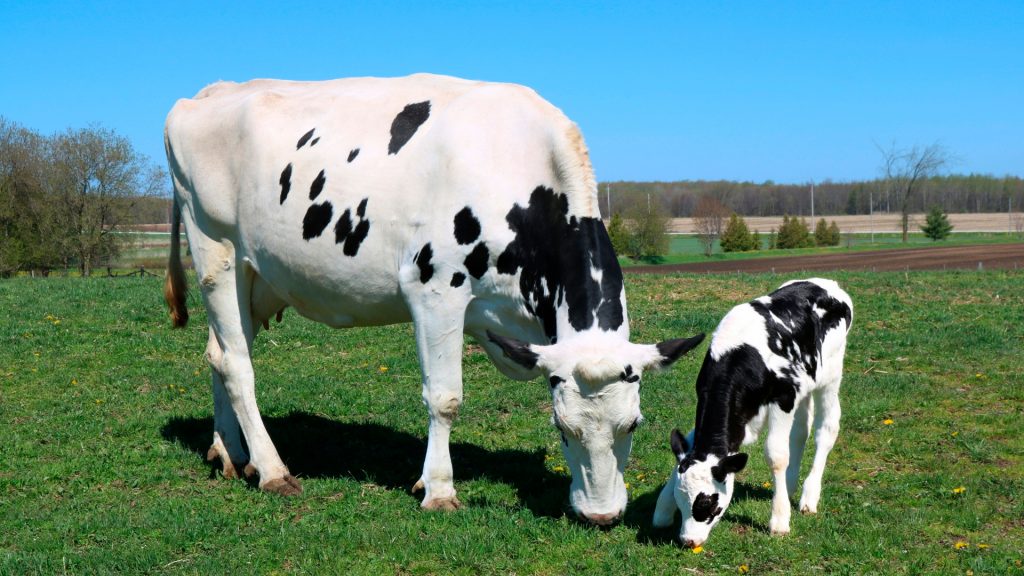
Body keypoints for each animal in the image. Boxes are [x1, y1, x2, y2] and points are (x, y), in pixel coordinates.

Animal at [651, 278, 851, 545]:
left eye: (710, 504)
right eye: (681, 501)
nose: (688, 540)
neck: (740, 356)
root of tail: (826, 283)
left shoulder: (783, 398)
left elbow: (777, 455)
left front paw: (779, 520)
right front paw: (662, 509)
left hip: (830, 375)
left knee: (826, 430)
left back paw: (809, 496)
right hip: (805, 384)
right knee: (801, 430)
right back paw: (789, 486)